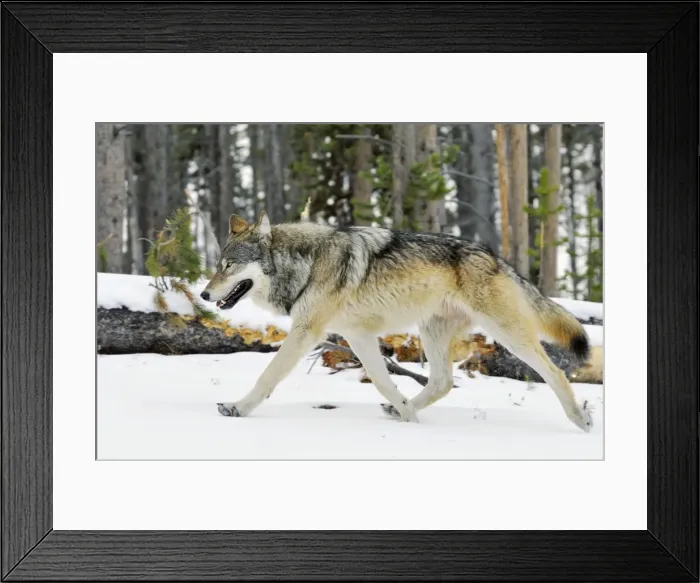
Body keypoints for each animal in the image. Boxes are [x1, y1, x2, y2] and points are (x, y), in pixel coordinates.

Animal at [200, 211, 594, 432]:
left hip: (508, 334)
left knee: (555, 372)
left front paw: (237, 408)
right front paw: (407, 417)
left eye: (228, 266)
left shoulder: (306, 332)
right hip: (431, 332)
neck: (306, 264)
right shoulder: (357, 336)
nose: (203, 294)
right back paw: (401, 409)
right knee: (442, 382)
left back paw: (580, 418)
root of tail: (496, 258)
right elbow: (382, 381)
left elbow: (267, 376)